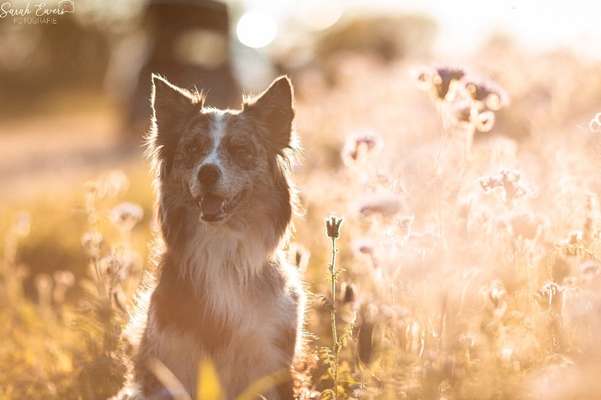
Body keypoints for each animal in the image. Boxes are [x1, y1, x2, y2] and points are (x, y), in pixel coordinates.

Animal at [114, 75, 304, 400]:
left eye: (240, 149)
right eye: (193, 148)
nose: (207, 173)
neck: (222, 247)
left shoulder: (269, 359)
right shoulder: (170, 363)